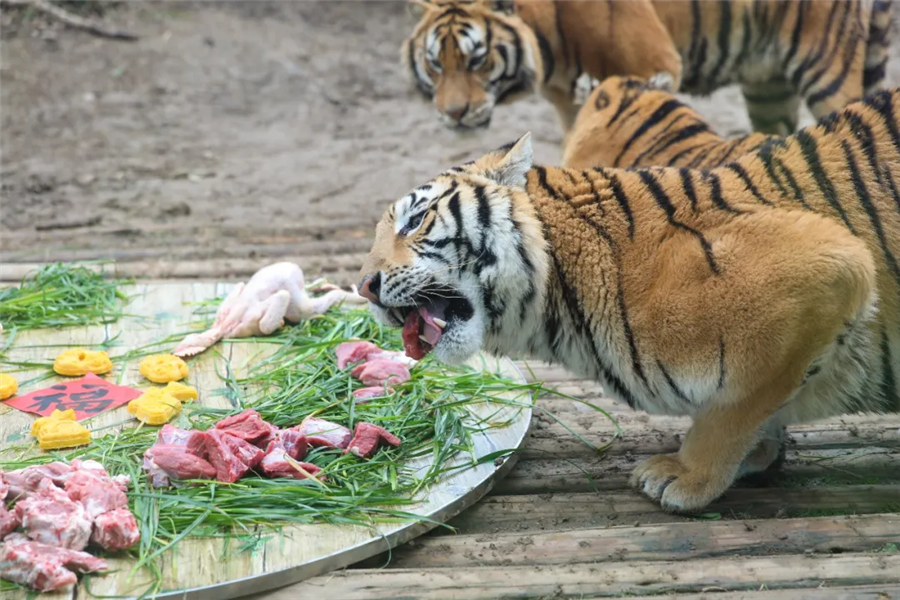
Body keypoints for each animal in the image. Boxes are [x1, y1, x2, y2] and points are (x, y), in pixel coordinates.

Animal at [356, 89, 900, 510]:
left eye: (414, 220)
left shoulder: (830, 265)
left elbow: (732, 408)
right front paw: (758, 454)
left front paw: (687, 476)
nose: (364, 286)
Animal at [402, 0, 892, 136]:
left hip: (826, 66)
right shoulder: (569, 101)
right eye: (435, 63)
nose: (453, 115)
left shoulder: (653, 65)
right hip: (767, 86)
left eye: (477, 59)